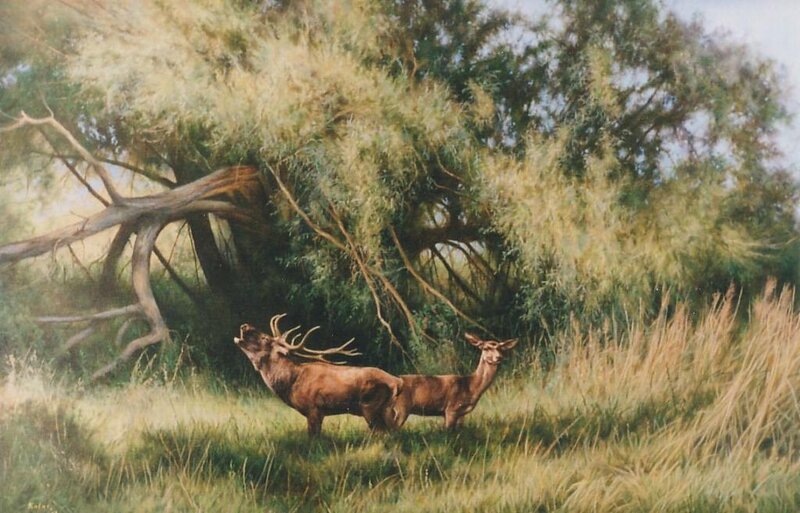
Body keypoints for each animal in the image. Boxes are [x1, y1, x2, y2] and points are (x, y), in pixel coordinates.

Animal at [234, 314, 403, 436]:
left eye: (265, 338)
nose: (244, 325)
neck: (291, 383)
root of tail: (397, 383)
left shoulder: (314, 409)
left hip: (371, 408)